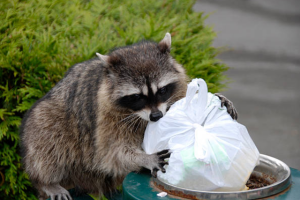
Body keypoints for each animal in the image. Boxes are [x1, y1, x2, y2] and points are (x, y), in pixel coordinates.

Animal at [19, 33, 238, 199]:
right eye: (137, 97)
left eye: (161, 90)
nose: (156, 116)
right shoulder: (107, 117)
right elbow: (112, 153)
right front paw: (144, 158)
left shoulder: (175, 90)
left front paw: (217, 98)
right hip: (48, 118)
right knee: (48, 138)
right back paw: (46, 181)